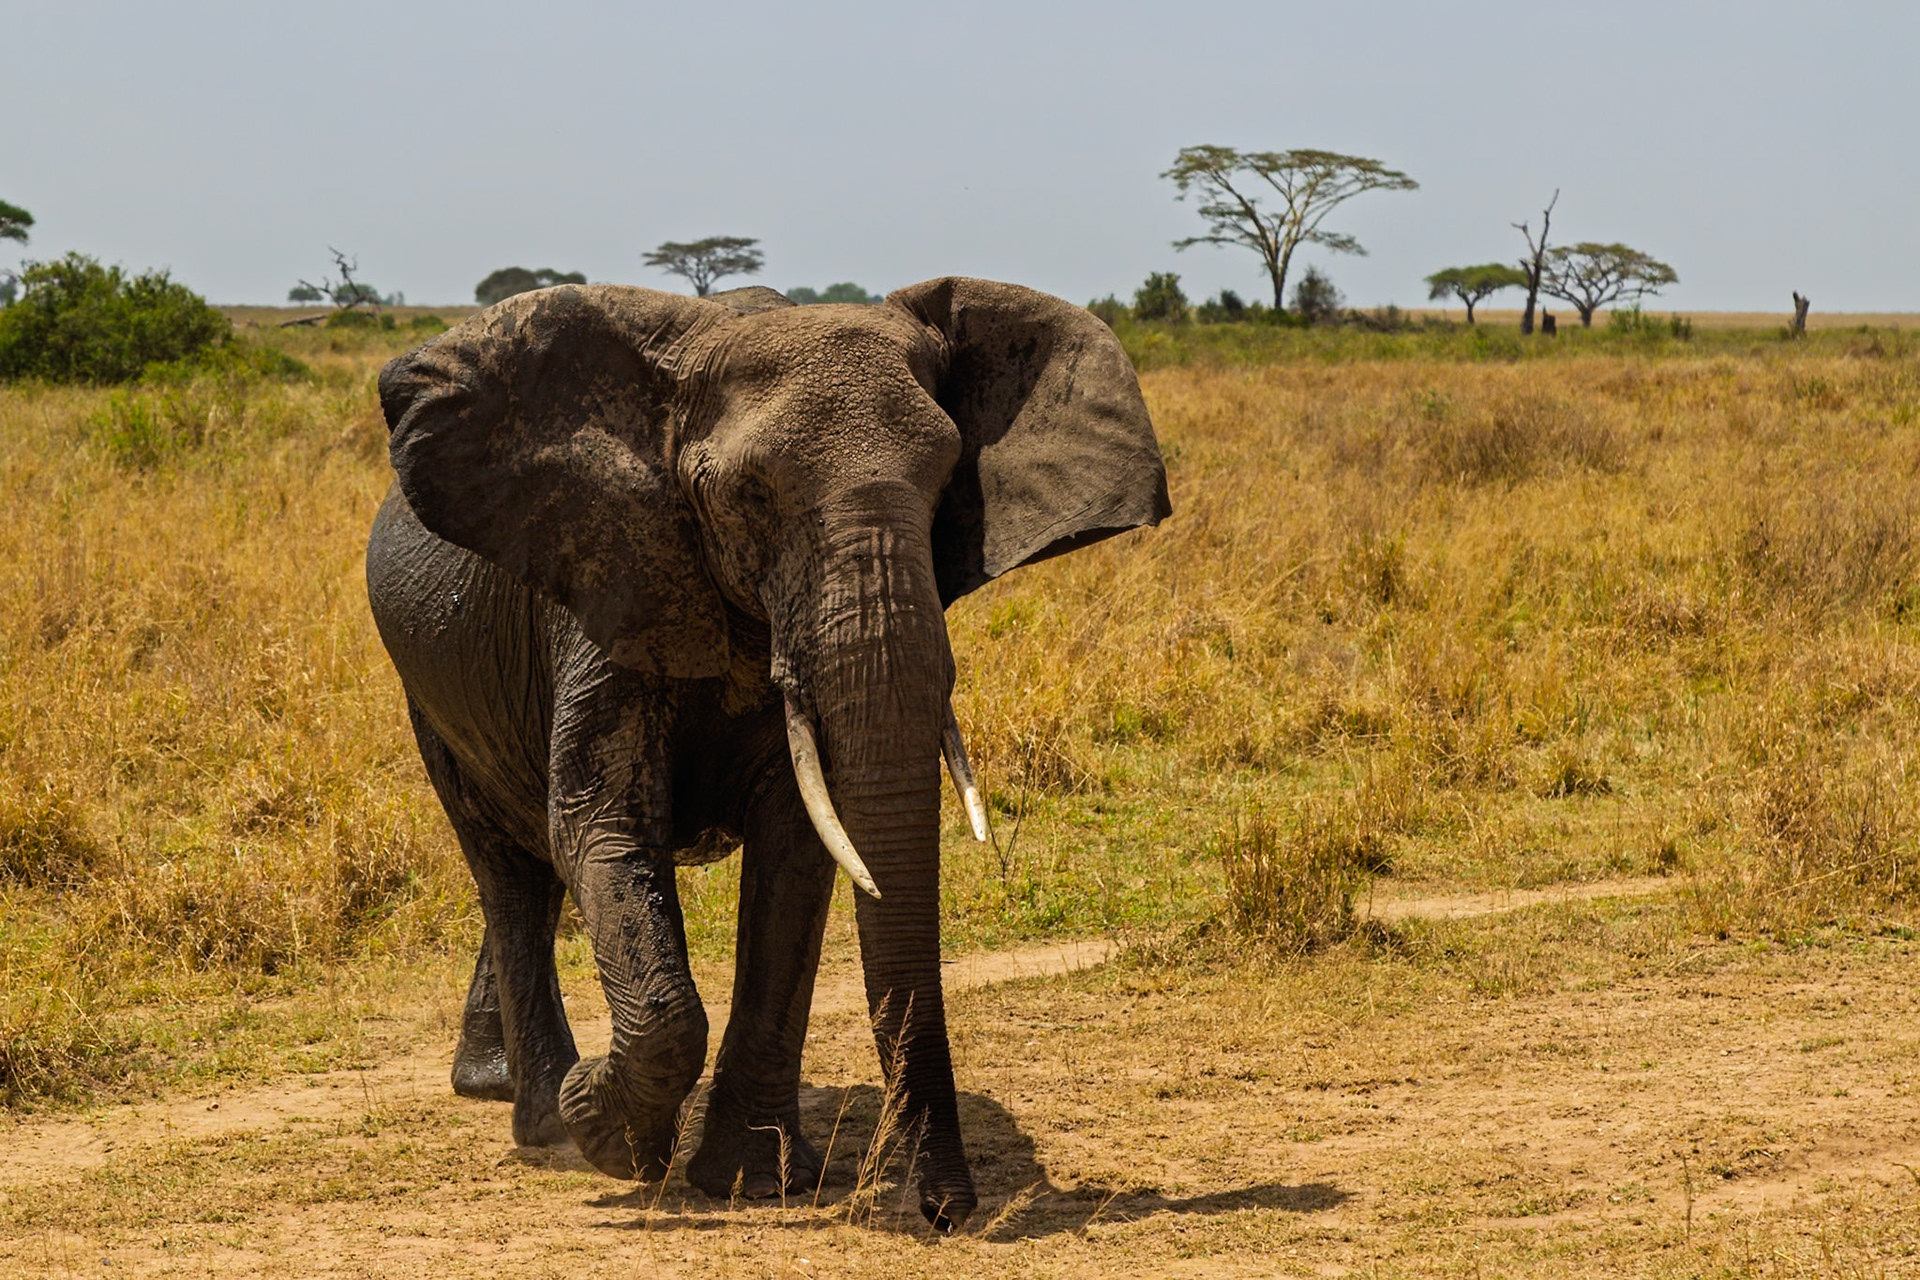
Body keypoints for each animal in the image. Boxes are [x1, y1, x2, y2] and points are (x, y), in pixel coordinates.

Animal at [364, 277, 1169, 1229]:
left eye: (948, 487)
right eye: (745, 496)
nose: (946, 1211)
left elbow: (797, 854)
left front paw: (748, 1178)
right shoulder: (608, 589)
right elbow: (602, 826)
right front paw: (604, 1128)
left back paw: (503, 1087)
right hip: (428, 691)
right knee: (510, 868)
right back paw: (539, 1119)